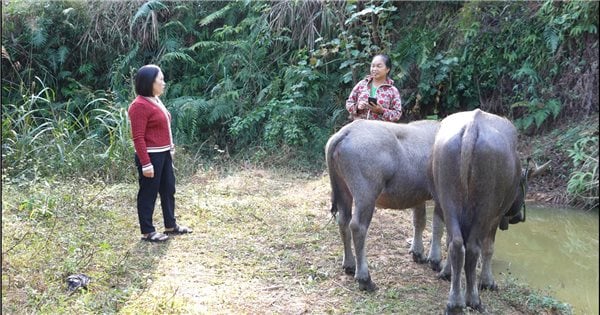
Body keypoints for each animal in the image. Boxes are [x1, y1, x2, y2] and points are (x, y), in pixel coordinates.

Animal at [326, 119, 442, 292]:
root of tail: (346, 132)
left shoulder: (418, 196)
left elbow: (419, 222)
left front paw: (418, 253)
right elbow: (438, 227)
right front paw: (435, 260)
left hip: (344, 190)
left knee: (343, 222)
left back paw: (349, 265)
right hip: (366, 195)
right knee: (358, 227)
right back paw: (365, 279)